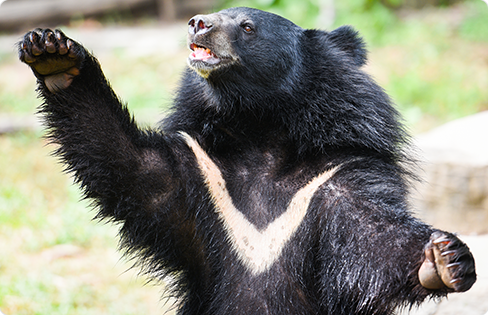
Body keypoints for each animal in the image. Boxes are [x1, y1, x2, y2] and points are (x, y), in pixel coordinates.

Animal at [20, 6, 476, 314]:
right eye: (216, 14)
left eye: (247, 27)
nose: (197, 22)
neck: (263, 135)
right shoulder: (199, 173)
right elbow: (128, 164)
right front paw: (54, 53)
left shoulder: (336, 179)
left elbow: (372, 235)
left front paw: (445, 259)